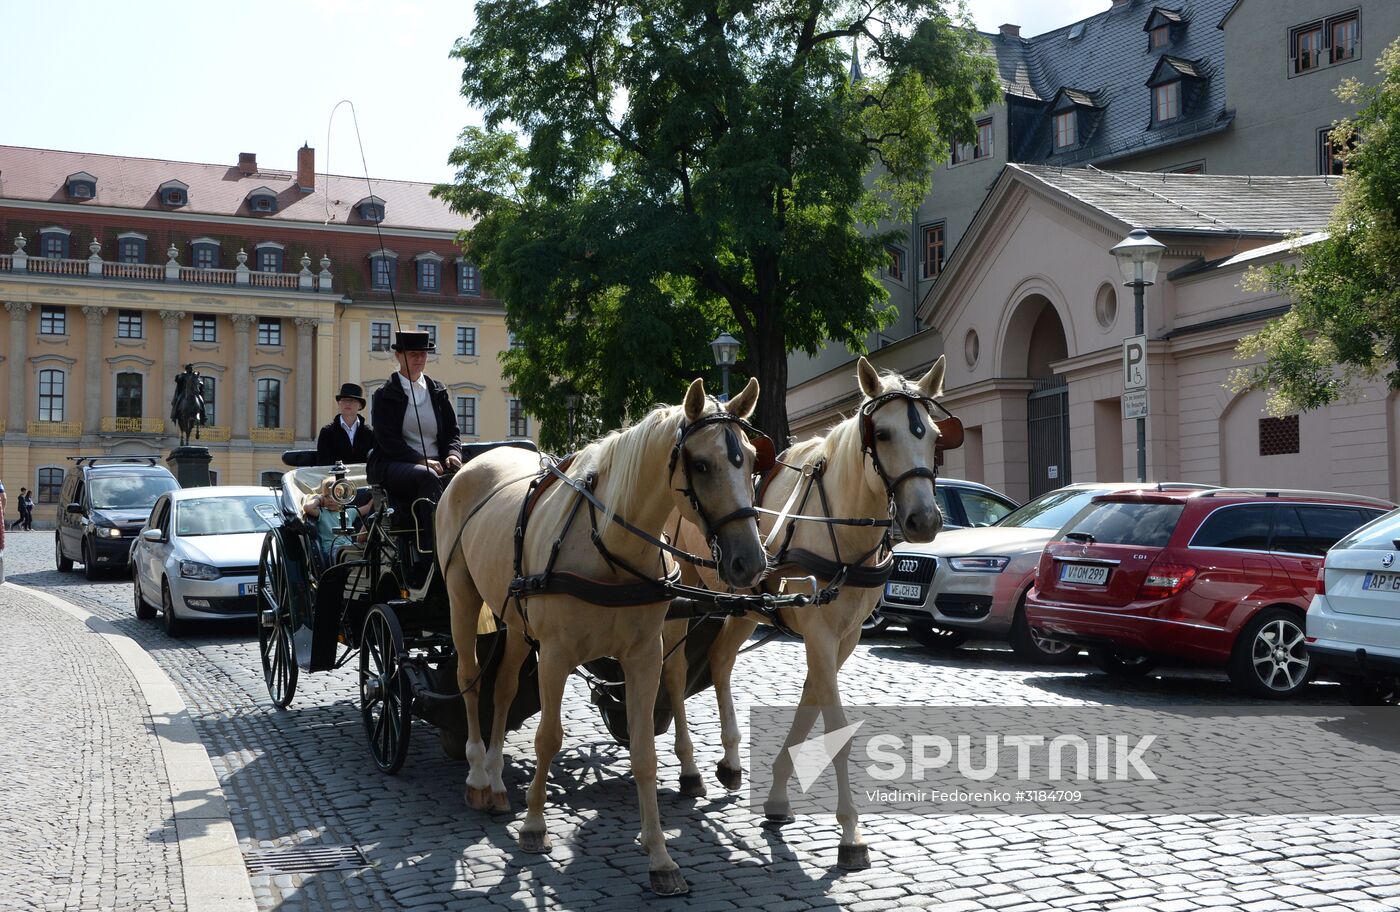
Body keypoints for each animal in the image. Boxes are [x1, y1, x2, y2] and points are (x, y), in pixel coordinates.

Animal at [436, 375, 767, 896]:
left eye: (752, 459)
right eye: (701, 464)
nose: (750, 562)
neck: (609, 548)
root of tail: (474, 463)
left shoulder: (644, 657)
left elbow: (644, 752)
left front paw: (660, 856)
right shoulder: (555, 656)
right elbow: (548, 738)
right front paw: (535, 827)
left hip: (516, 623)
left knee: (503, 687)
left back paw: (496, 779)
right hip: (461, 597)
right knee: (471, 681)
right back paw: (476, 775)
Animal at [663, 354, 952, 868]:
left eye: (934, 436)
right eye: (882, 434)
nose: (924, 520)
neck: (838, 524)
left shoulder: (845, 639)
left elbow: (807, 707)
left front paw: (778, 796)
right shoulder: (819, 635)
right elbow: (834, 726)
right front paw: (851, 833)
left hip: (742, 607)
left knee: (719, 660)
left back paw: (731, 761)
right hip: (681, 595)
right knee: (675, 671)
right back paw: (690, 768)